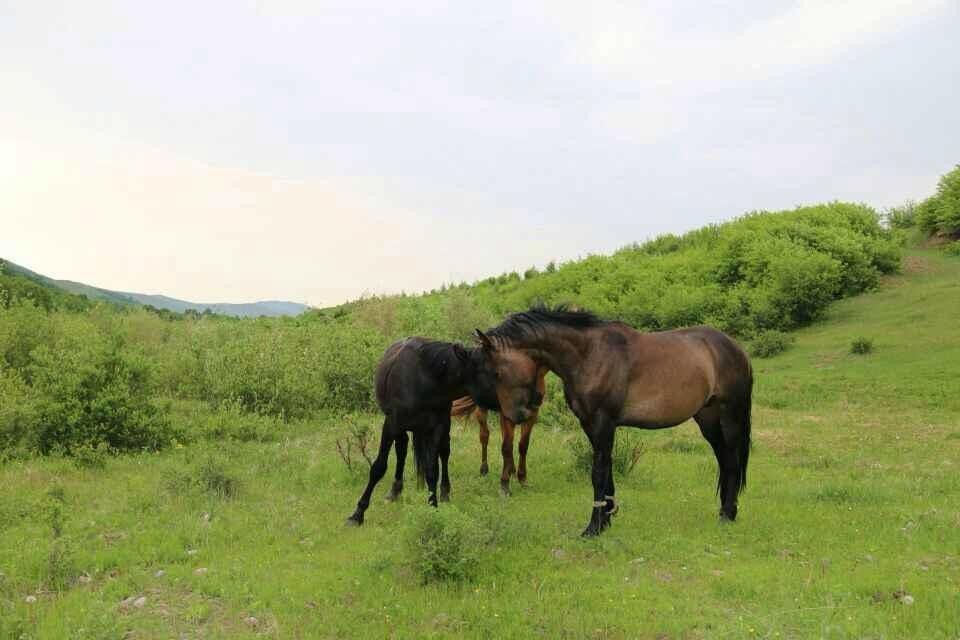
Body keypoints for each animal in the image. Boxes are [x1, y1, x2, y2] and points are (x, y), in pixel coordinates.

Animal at [344, 336, 496, 524]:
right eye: (488, 371)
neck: (425, 381)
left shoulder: (436, 428)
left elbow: (432, 470)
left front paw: (433, 507)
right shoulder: (391, 424)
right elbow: (378, 467)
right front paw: (358, 513)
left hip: (440, 428)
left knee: (444, 452)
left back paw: (444, 492)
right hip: (403, 428)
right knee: (402, 449)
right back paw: (395, 490)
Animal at [450, 364, 548, 496]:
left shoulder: (532, 416)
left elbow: (523, 445)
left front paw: (522, 479)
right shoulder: (507, 416)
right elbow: (507, 446)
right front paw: (505, 485)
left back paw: (511, 470)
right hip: (483, 409)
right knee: (484, 435)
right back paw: (484, 469)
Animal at [476, 304, 752, 536]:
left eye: (497, 372)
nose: (515, 416)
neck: (589, 355)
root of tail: (737, 349)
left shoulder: (603, 423)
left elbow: (598, 472)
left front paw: (593, 527)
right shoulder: (591, 425)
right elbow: (606, 470)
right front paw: (606, 519)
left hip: (730, 416)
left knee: (732, 460)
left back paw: (727, 514)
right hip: (708, 419)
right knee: (723, 459)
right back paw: (725, 511)